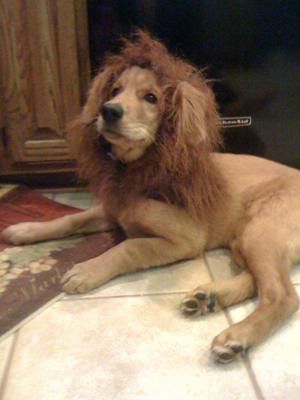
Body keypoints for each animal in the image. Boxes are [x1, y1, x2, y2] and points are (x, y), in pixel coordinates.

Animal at [2, 31, 300, 362]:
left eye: (152, 98)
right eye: (114, 90)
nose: (108, 110)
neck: (139, 174)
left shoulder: (186, 238)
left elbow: (129, 247)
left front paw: (88, 269)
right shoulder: (113, 209)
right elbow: (71, 219)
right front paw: (26, 230)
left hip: (260, 231)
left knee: (284, 295)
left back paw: (236, 336)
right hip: (245, 239)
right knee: (258, 281)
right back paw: (208, 297)